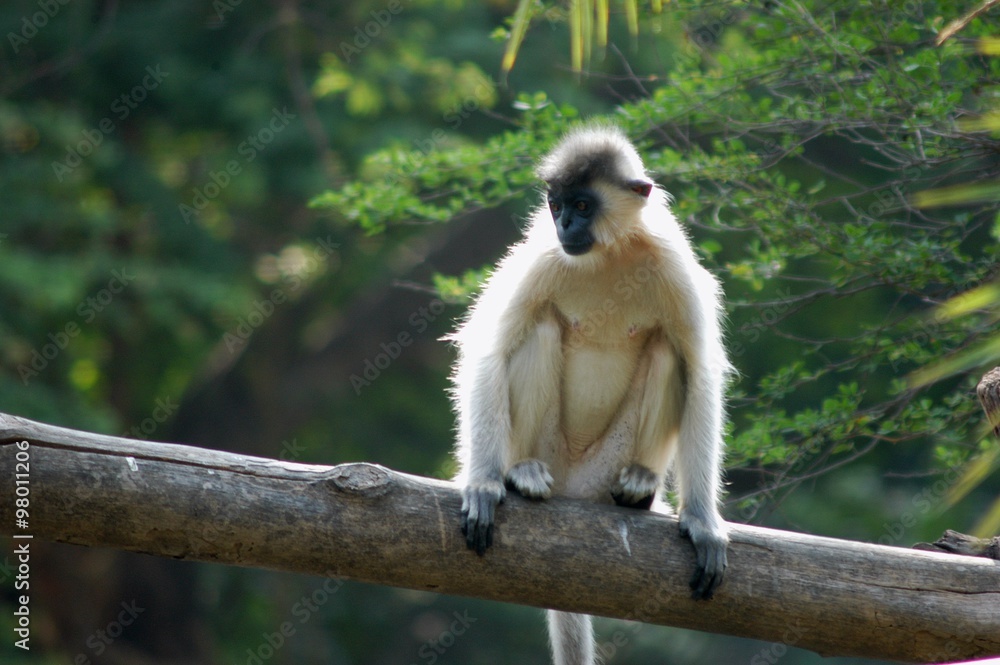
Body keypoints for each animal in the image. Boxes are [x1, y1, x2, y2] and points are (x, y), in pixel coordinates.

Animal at [448, 124, 731, 665]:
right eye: (557, 206)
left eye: (582, 204)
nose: (564, 225)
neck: (610, 253)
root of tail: (576, 490)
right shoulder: (544, 255)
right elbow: (487, 351)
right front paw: (482, 483)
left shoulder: (673, 262)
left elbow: (702, 374)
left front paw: (702, 520)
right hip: (549, 449)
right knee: (538, 328)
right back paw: (519, 473)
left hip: (606, 463)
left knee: (666, 348)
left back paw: (639, 487)